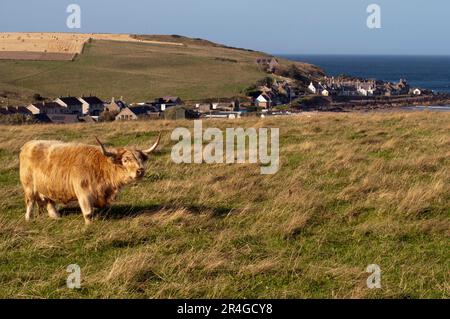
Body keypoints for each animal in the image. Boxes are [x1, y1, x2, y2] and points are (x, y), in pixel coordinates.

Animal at [18, 135, 160, 225]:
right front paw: (89, 225)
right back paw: (29, 218)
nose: (140, 170)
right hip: (29, 186)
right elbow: (88, 213)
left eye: (140, 159)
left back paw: (55, 216)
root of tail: (28, 144)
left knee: (49, 201)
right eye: (125, 160)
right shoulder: (83, 194)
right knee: (30, 202)